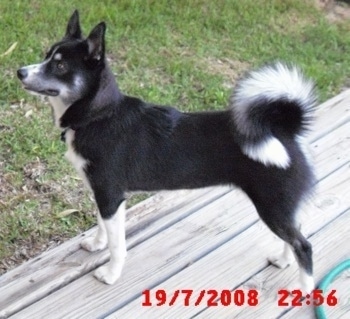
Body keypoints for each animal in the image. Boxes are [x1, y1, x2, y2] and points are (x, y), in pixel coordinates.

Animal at [17, 11, 316, 294]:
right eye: (46, 55)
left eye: (60, 65)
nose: (20, 71)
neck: (99, 116)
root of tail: (282, 128)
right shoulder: (102, 194)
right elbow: (102, 226)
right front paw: (96, 244)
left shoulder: (111, 195)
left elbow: (117, 244)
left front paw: (111, 274)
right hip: (281, 209)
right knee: (296, 235)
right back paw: (283, 261)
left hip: (272, 206)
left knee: (303, 245)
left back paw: (305, 289)